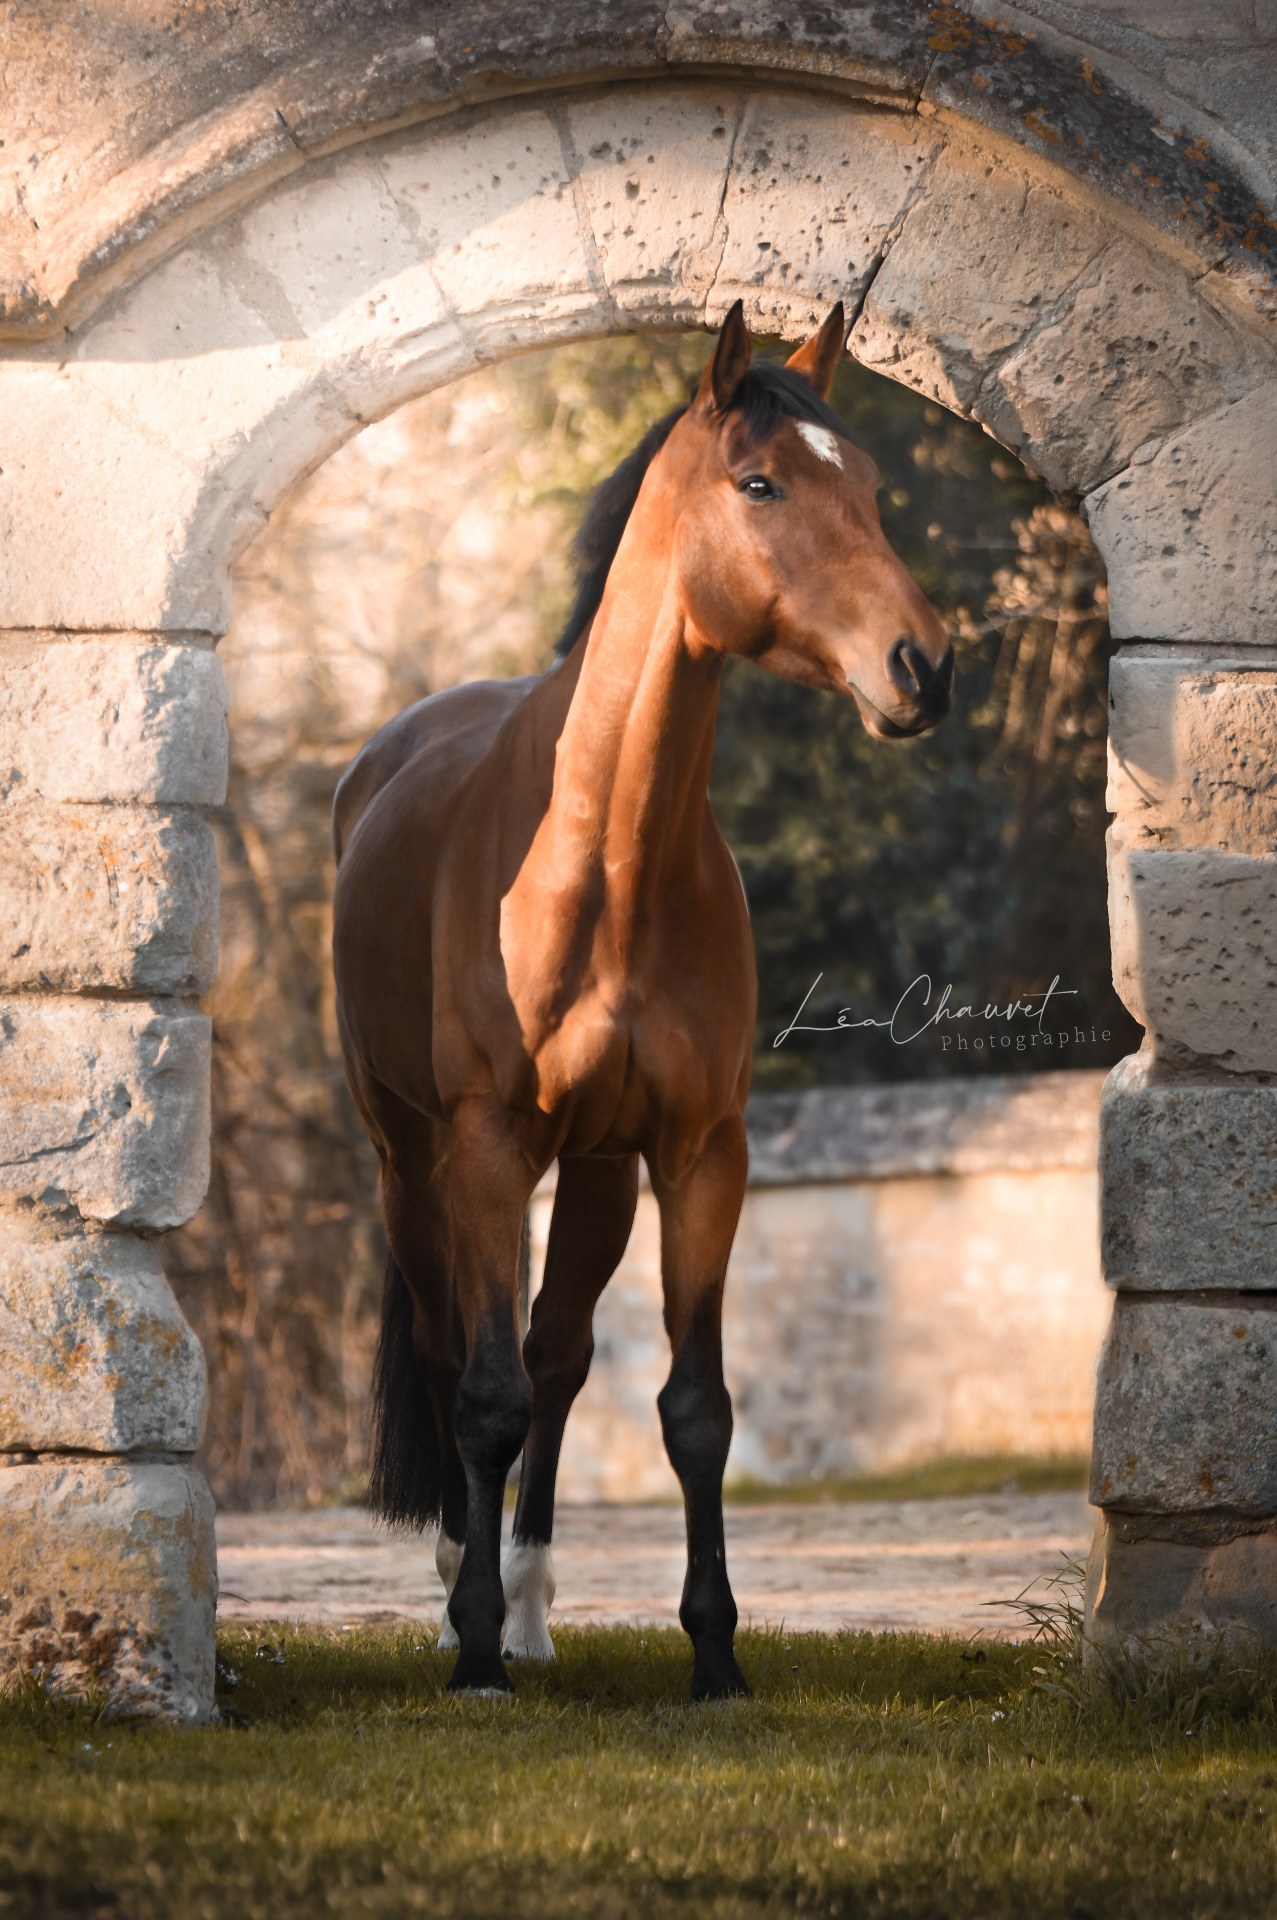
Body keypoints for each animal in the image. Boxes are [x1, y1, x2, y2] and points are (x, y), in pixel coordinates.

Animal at [331, 301, 952, 1699]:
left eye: (869, 484)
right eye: (760, 483)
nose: (923, 667)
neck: (605, 852)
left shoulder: (696, 1152)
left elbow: (692, 1410)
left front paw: (713, 1654)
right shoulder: (486, 1147)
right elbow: (483, 1399)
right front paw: (470, 1656)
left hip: (599, 1172)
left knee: (557, 1360)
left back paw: (528, 1608)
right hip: (409, 1160)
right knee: (460, 1357)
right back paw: (462, 1603)